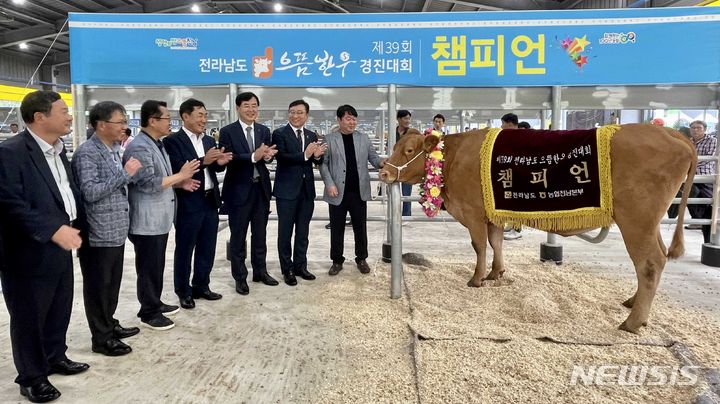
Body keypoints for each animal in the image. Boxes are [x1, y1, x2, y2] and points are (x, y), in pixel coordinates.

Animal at [380, 124, 696, 332]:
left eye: (409, 150)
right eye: (394, 146)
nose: (383, 172)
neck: (453, 157)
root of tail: (673, 134)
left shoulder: (473, 213)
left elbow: (479, 245)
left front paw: (477, 279)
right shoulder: (493, 214)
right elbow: (496, 242)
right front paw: (496, 273)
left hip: (636, 219)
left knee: (649, 263)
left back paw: (632, 322)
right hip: (648, 222)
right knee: (657, 258)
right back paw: (632, 304)